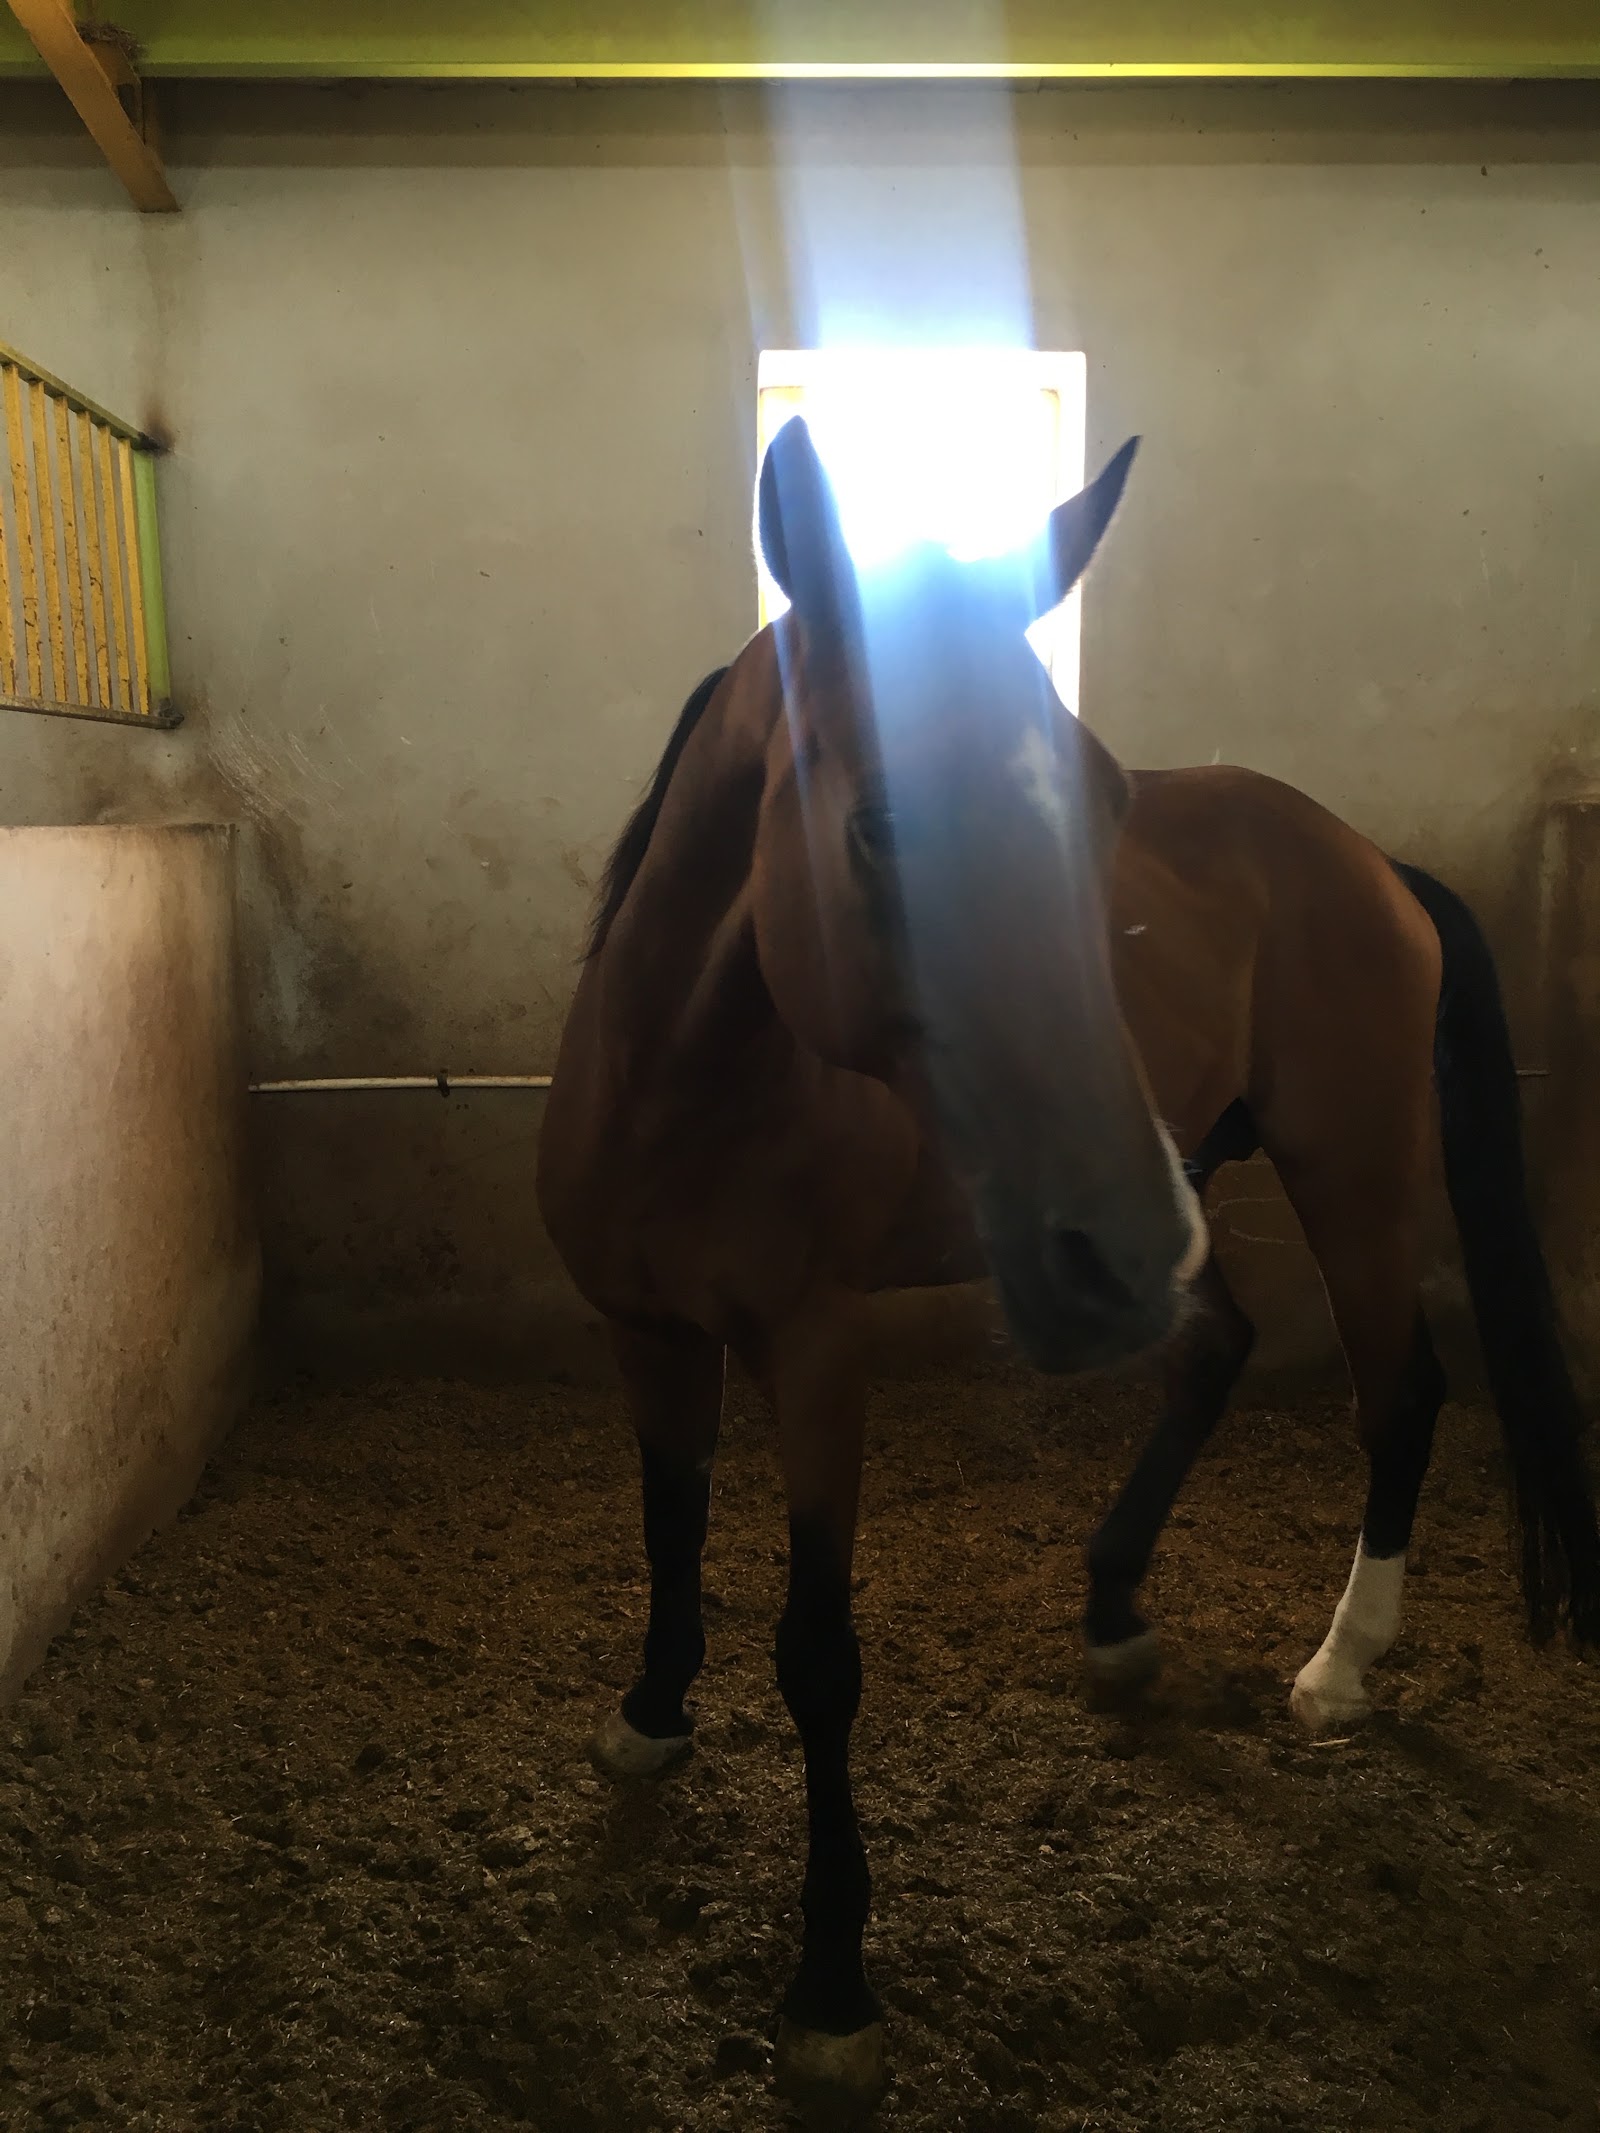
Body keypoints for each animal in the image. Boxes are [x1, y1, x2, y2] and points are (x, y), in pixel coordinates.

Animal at [537, 416, 1600, 2114]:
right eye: (881, 818)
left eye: (1101, 810)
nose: (1120, 1232)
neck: (681, 1085)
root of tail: (1375, 860)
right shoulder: (648, 1333)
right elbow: (667, 1530)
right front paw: (649, 1713)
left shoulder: (819, 1357)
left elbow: (818, 1653)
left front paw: (832, 1981)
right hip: (1183, 1192)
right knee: (1219, 1348)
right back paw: (1112, 1605)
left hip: (1322, 1182)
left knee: (1401, 1393)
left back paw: (1341, 1668)